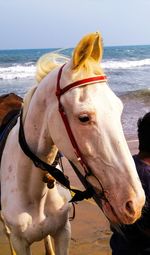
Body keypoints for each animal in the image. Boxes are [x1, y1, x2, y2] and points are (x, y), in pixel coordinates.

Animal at [0, 32, 145, 254]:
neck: (34, 192)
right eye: (84, 118)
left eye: (119, 108)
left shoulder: (63, 232)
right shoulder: (20, 242)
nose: (134, 203)